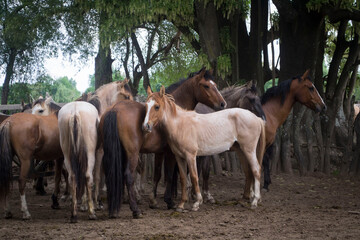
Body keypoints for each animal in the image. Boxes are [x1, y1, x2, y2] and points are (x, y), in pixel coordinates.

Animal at [99, 67, 225, 218]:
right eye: (206, 86)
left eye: (215, 85)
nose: (223, 103)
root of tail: (115, 109)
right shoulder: (171, 153)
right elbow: (169, 175)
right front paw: (169, 201)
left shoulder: (159, 152)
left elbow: (157, 174)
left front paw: (153, 201)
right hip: (132, 154)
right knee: (128, 176)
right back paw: (135, 209)